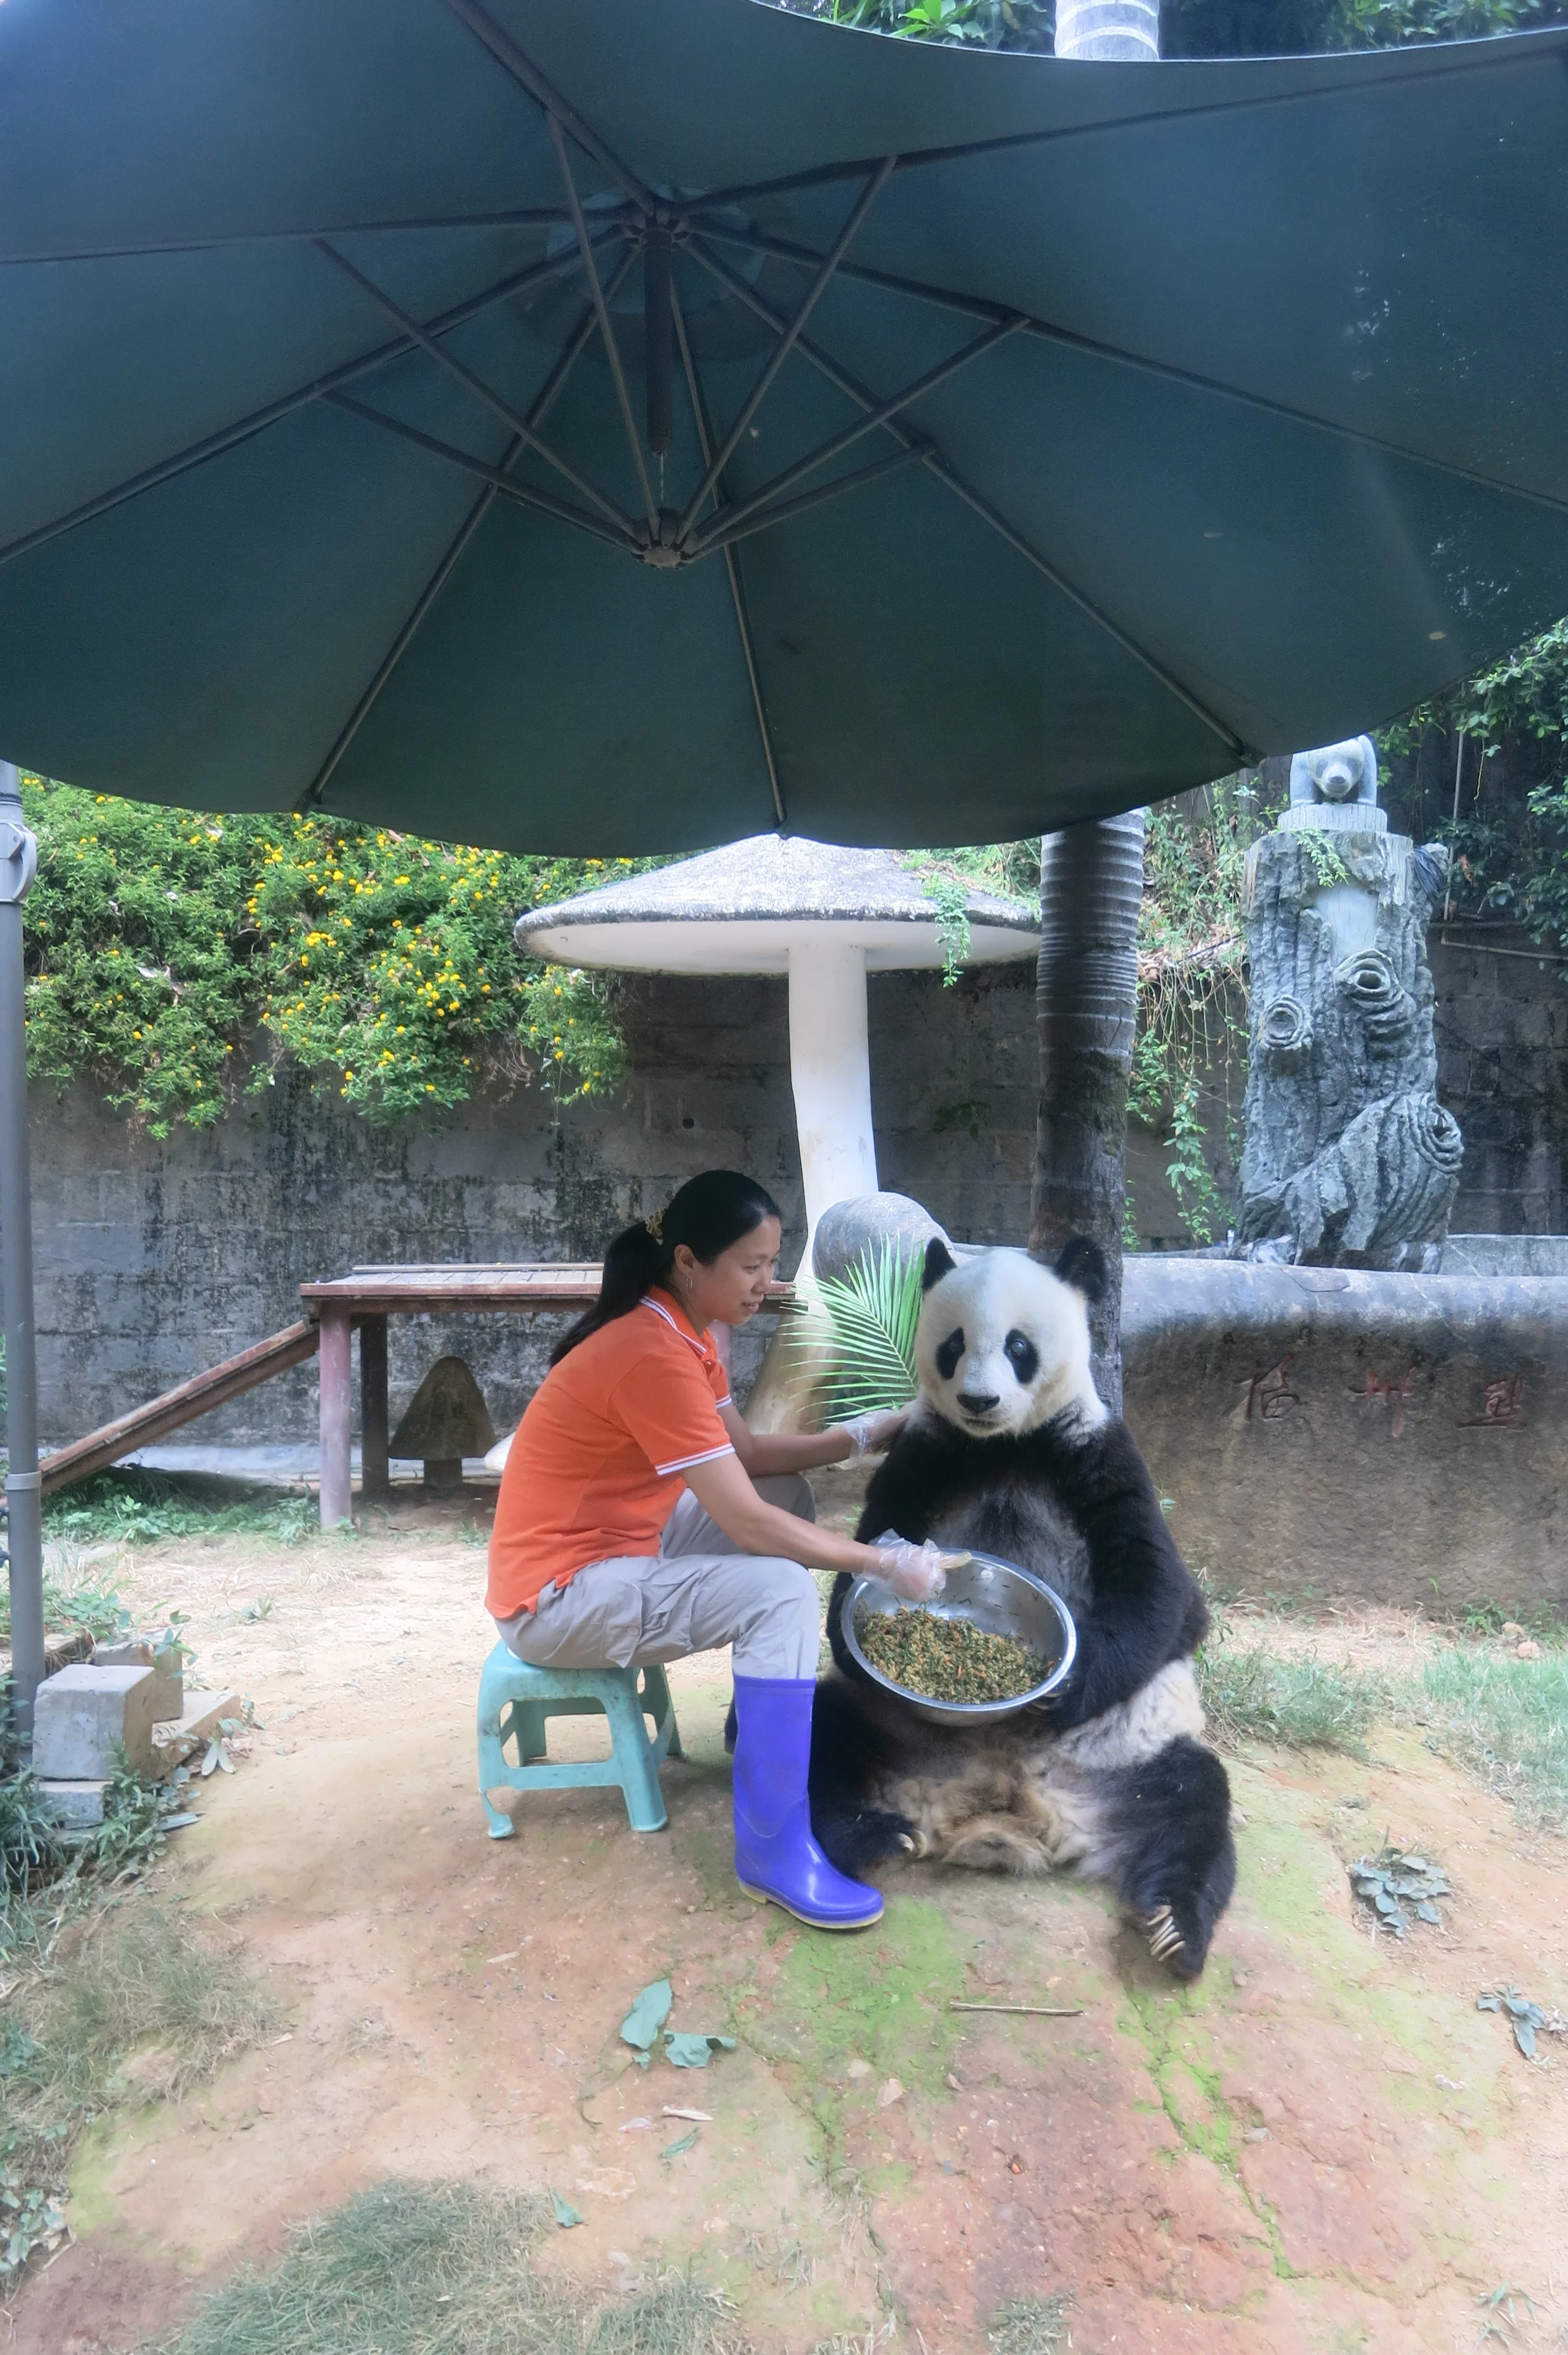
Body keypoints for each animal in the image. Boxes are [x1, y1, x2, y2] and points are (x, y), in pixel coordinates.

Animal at [807, 1234, 1236, 1980]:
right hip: (890, 1730)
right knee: (819, 1736)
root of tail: (1002, 1806)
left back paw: (1174, 1926)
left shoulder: (1095, 1451)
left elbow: (1158, 1591)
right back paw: (876, 1834)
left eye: (1018, 1346)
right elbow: (873, 1538)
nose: (978, 1399)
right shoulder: (929, 1450)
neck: (1003, 1444)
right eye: (953, 1344)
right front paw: (858, 1640)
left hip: (1130, 1752)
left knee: (1194, 1805)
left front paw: (1068, 1689)